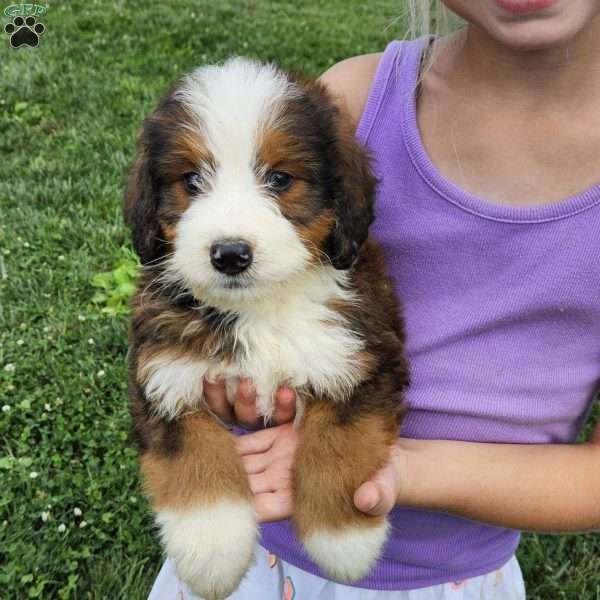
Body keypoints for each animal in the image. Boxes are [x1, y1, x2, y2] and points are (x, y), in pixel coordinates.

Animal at [125, 57, 410, 600]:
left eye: (280, 178)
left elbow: (340, 442)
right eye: (191, 180)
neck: (260, 308)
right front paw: (213, 550)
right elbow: (194, 455)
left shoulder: (363, 354)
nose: (230, 254)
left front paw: (344, 537)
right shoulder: (164, 373)